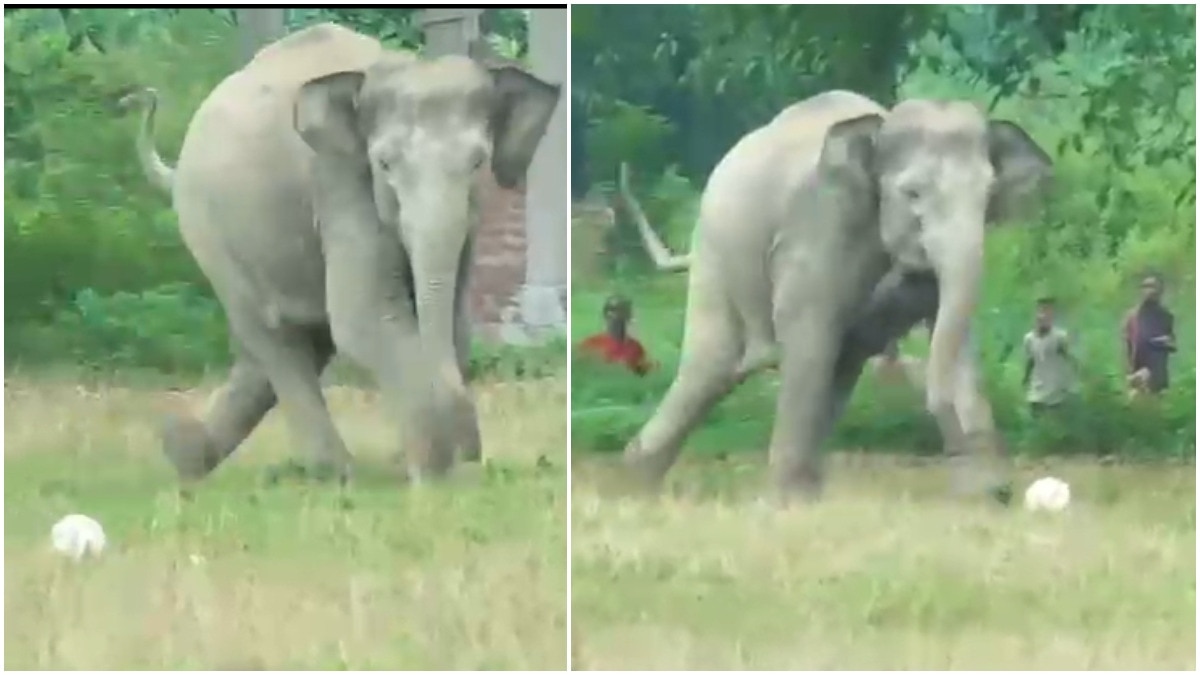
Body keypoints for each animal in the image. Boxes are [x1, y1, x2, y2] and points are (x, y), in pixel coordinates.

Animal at [122, 23, 561, 485]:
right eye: (384, 164)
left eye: (478, 162)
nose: (468, 455)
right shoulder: (337, 180)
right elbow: (363, 317)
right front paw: (430, 470)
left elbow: (454, 317)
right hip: (210, 236)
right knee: (274, 336)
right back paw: (332, 472)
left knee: (297, 340)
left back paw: (185, 450)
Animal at [613, 90, 1051, 503]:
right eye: (912, 193)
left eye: (989, 194)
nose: (938, 414)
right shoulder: (818, 226)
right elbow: (809, 332)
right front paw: (788, 504)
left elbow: (949, 326)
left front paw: (988, 495)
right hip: (716, 257)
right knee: (713, 366)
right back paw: (635, 484)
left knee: (835, 365)